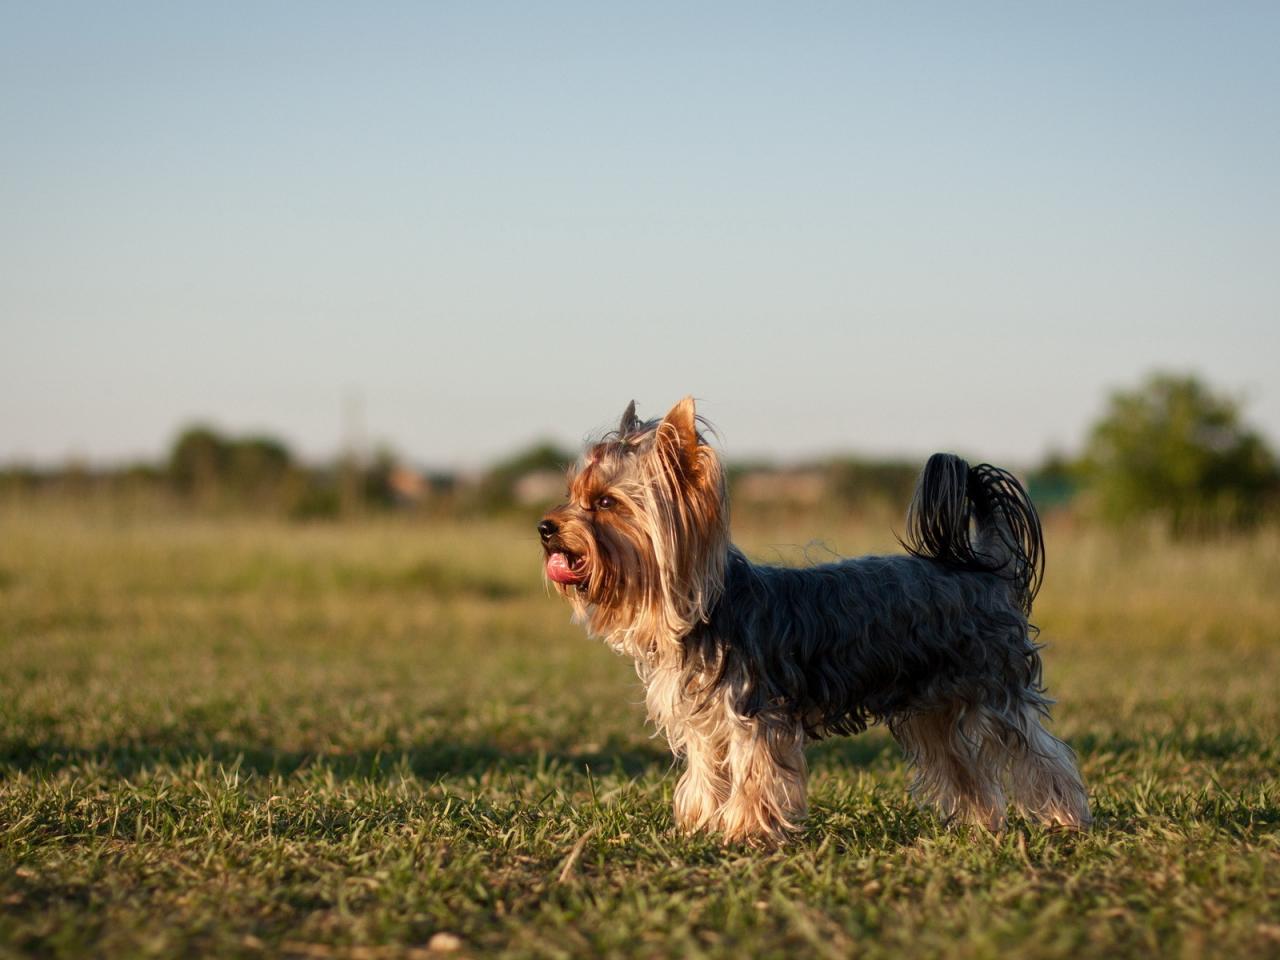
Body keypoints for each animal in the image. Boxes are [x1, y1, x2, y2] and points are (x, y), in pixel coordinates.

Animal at [537, 396, 1090, 839]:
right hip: (933, 707)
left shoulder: (753, 714)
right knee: (962, 766)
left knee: (1039, 755)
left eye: (605, 502)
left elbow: (755, 773)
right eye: (571, 495)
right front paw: (701, 825)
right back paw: (981, 825)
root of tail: (987, 570)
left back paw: (1067, 819)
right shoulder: (704, 725)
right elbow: (706, 775)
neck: (703, 611)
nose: (545, 526)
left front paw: (744, 833)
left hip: (994, 691)